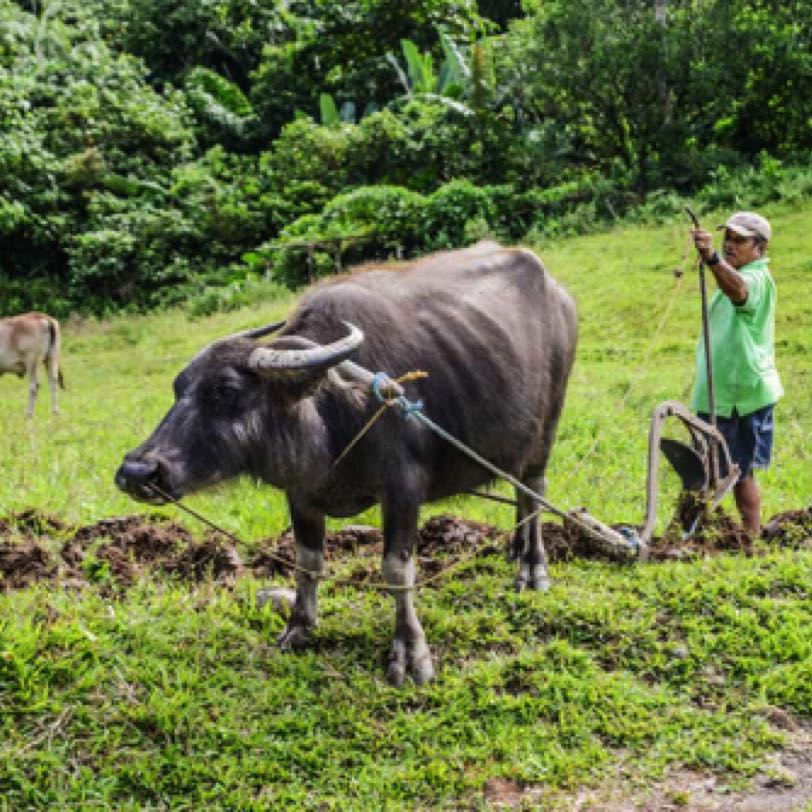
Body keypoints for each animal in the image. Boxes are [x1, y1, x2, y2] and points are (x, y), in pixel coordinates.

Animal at [117, 243, 580, 684]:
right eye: (179, 388)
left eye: (226, 389)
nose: (138, 472)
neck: (330, 416)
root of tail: (557, 293)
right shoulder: (301, 493)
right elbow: (307, 561)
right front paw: (298, 628)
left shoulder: (403, 489)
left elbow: (396, 569)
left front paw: (410, 653)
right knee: (519, 491)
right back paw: (514, 549)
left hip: (546, 427)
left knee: (534, 489)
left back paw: (532, 567)